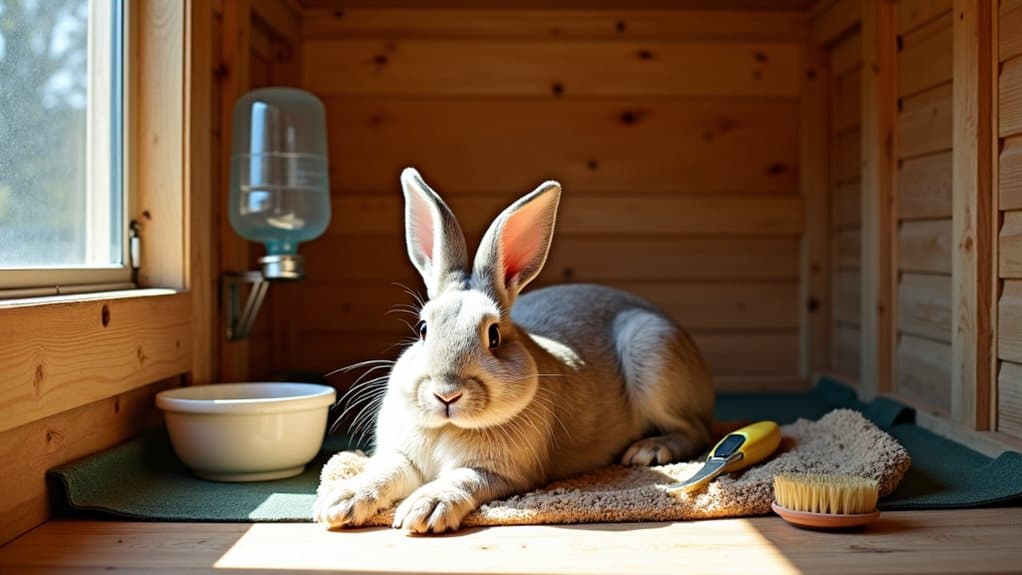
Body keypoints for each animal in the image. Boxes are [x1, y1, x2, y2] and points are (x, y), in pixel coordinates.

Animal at [313, 167, 714, 534]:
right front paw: (340, 503)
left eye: (493, 336)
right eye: (423, 329)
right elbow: (386, 471)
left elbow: (463, 479)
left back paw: (650, 450)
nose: (446, 393)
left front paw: (424, 510)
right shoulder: (401, 457)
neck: (449, 428)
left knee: (697, 431)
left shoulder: (503, 473)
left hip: (654, 352)